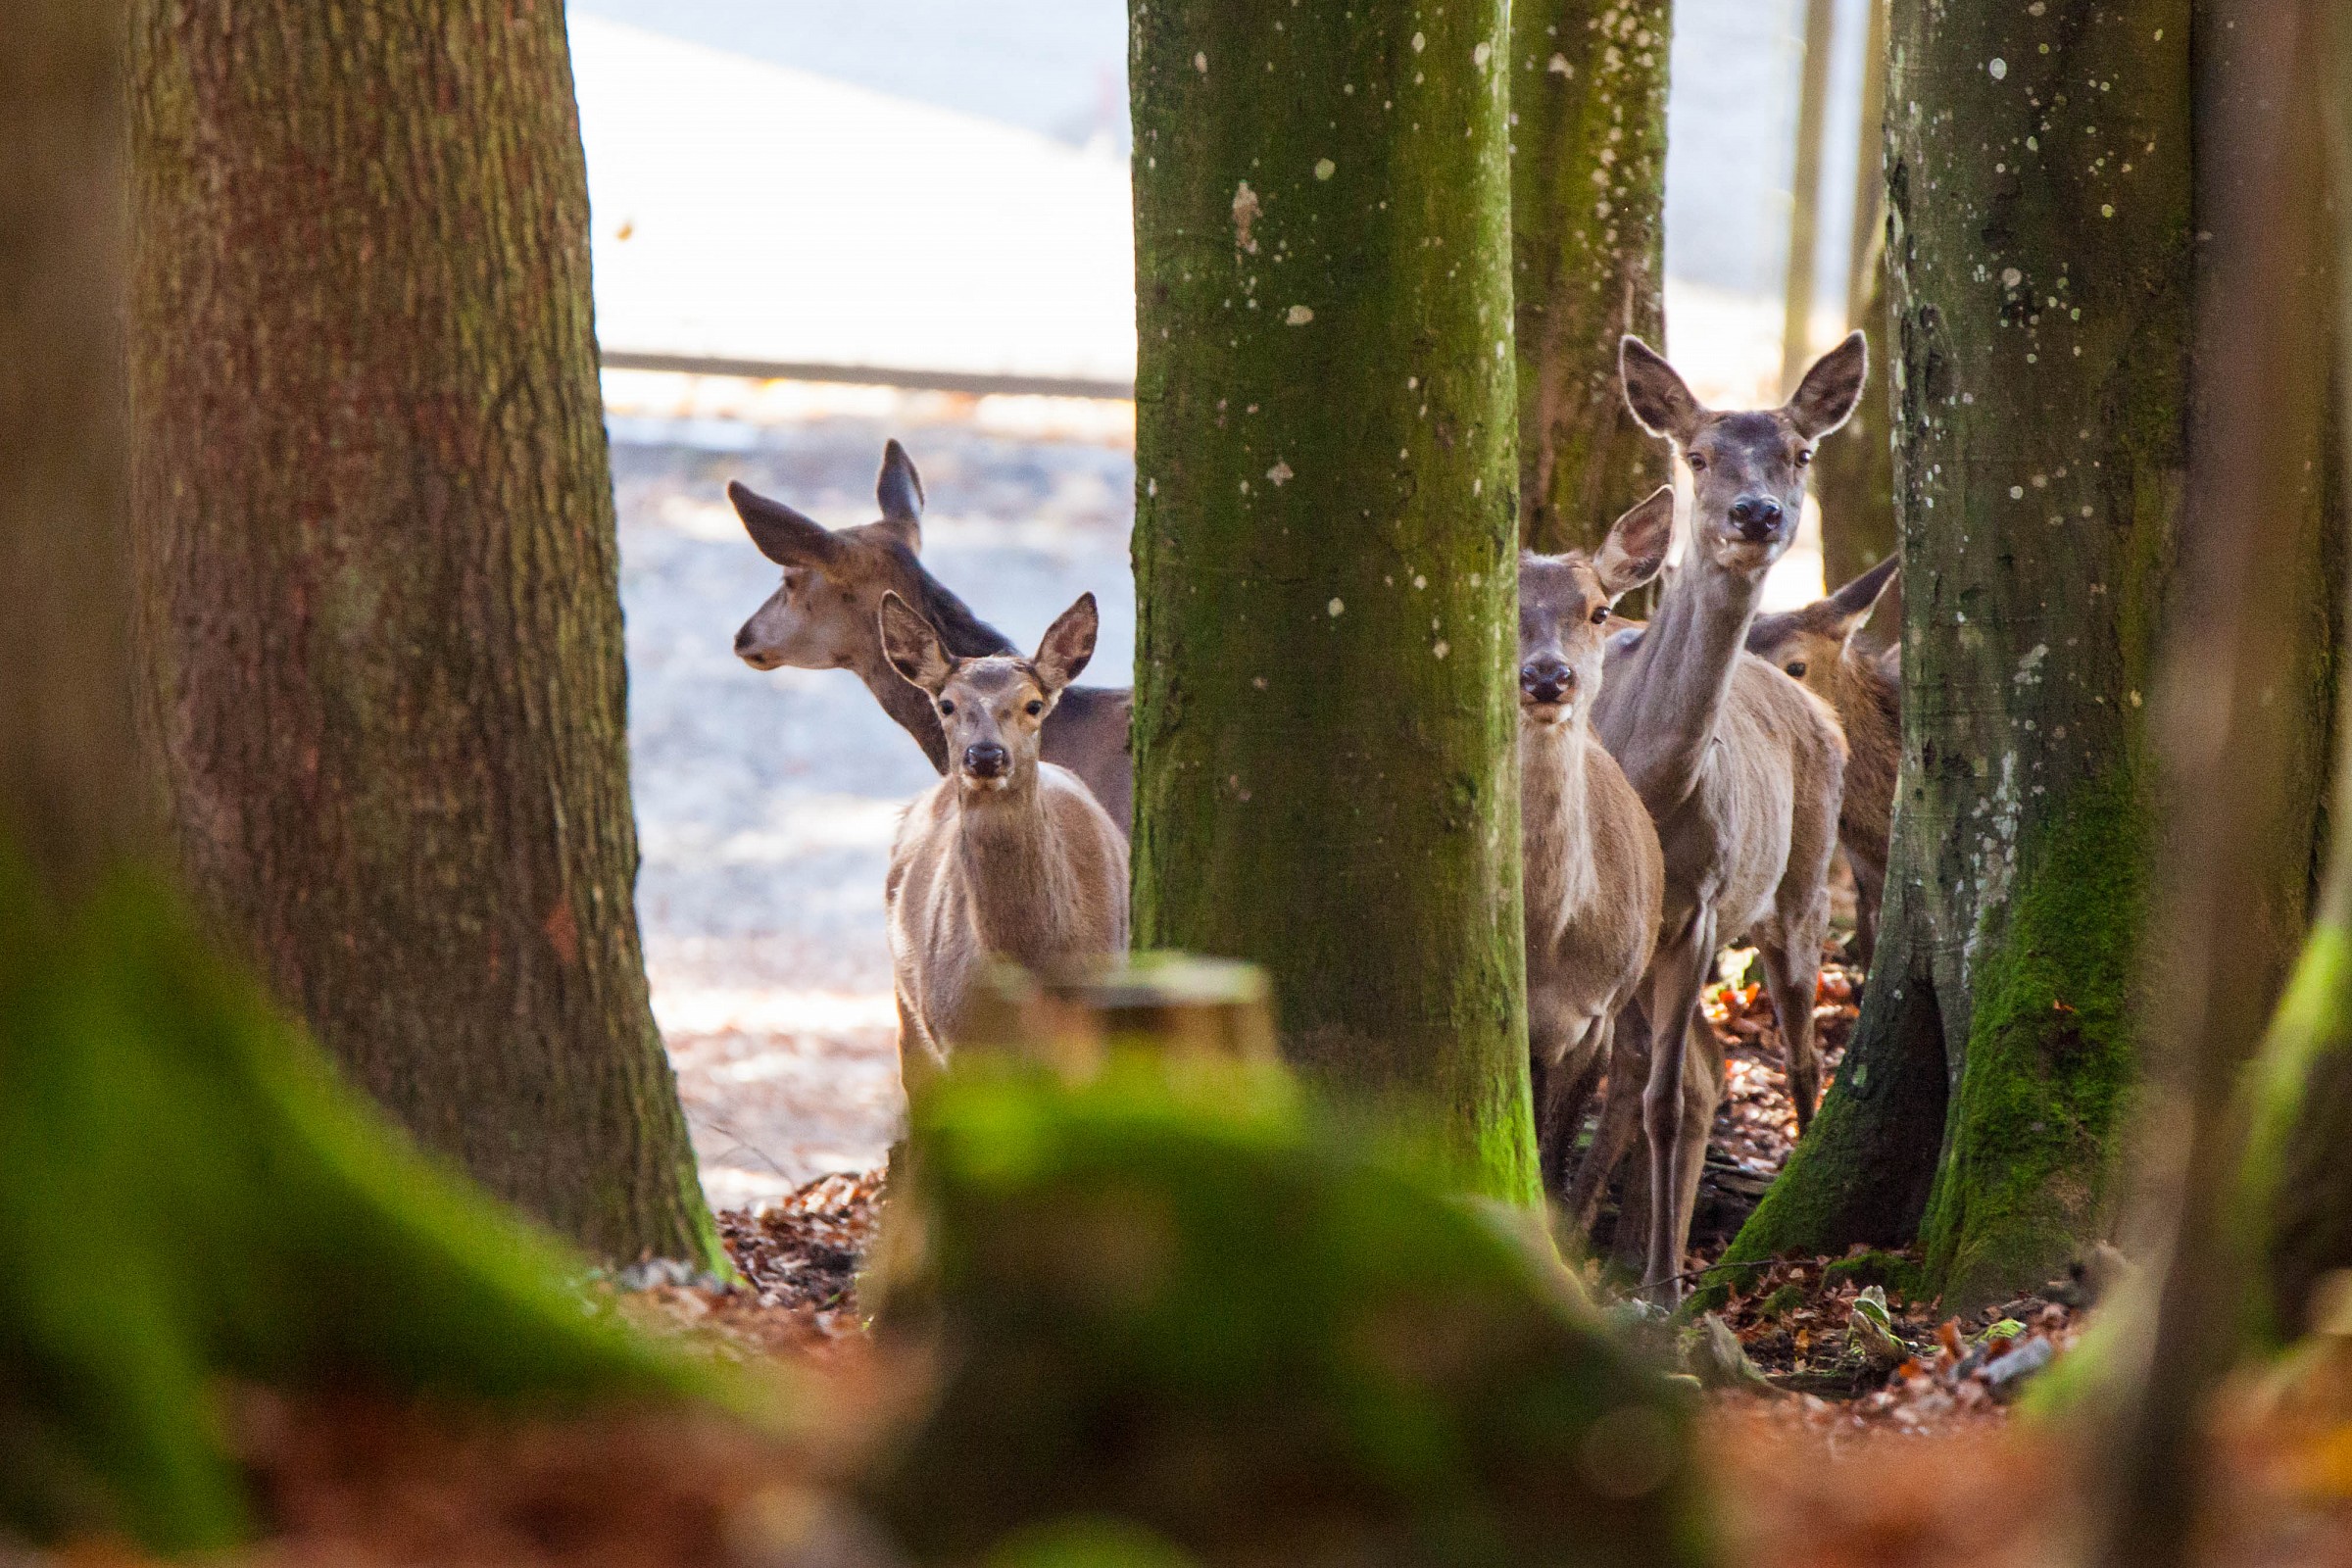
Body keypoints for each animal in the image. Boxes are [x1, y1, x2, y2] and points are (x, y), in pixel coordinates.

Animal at [1594, 331, 1861, 1302]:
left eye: (1802, 452)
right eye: (1699, 455)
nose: (1758, 513)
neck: (1655, 783)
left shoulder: (1701, 906)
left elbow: (1662, 1097)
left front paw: (1662, 1289)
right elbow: (1635, 1078)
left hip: (1803, 887)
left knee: (1800, 1052)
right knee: (1704, 1067)